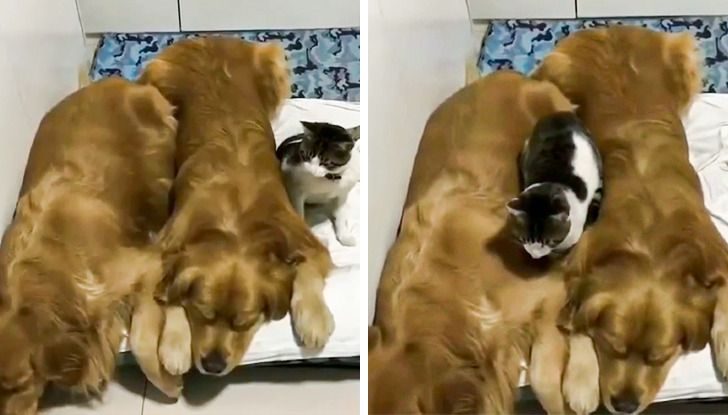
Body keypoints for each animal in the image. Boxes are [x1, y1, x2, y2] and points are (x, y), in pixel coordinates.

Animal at [139, 37, 335, 377]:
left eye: (245, 322)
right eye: (202, 313)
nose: (213, 366)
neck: (235, 224)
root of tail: (209, 37)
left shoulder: (300, 235)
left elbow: (308, 269)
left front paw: (314, 318)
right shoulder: (167, 242)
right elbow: (168, 290)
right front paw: (175, 344)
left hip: (273, 61)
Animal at [533, 26, 728, 414]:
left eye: (660, 357)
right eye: (611, 346)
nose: (624, 405)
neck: (651, 248)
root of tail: (609, 27)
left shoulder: (716, 249)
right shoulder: (580, 257)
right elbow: (576, 316)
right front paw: (582, 380)